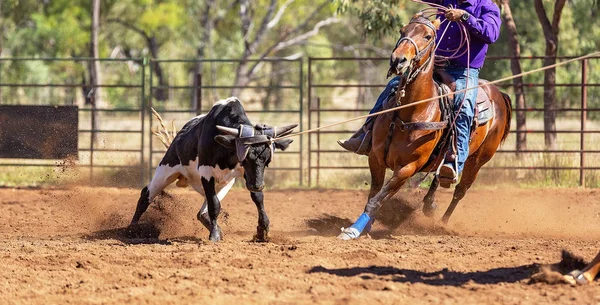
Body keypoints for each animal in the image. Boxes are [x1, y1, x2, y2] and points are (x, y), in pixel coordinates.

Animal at [129, 96, 296, 241]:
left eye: (267, 160)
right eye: (246, 159)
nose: (257, 185)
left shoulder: (245, 175)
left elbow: (258, 198)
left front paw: (263, 229)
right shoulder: (206, 173)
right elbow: (215, 205)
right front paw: (214, 235)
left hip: (224, 184)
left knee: (201, 213)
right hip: (166, 169)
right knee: (145, 195)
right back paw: (132, 230)